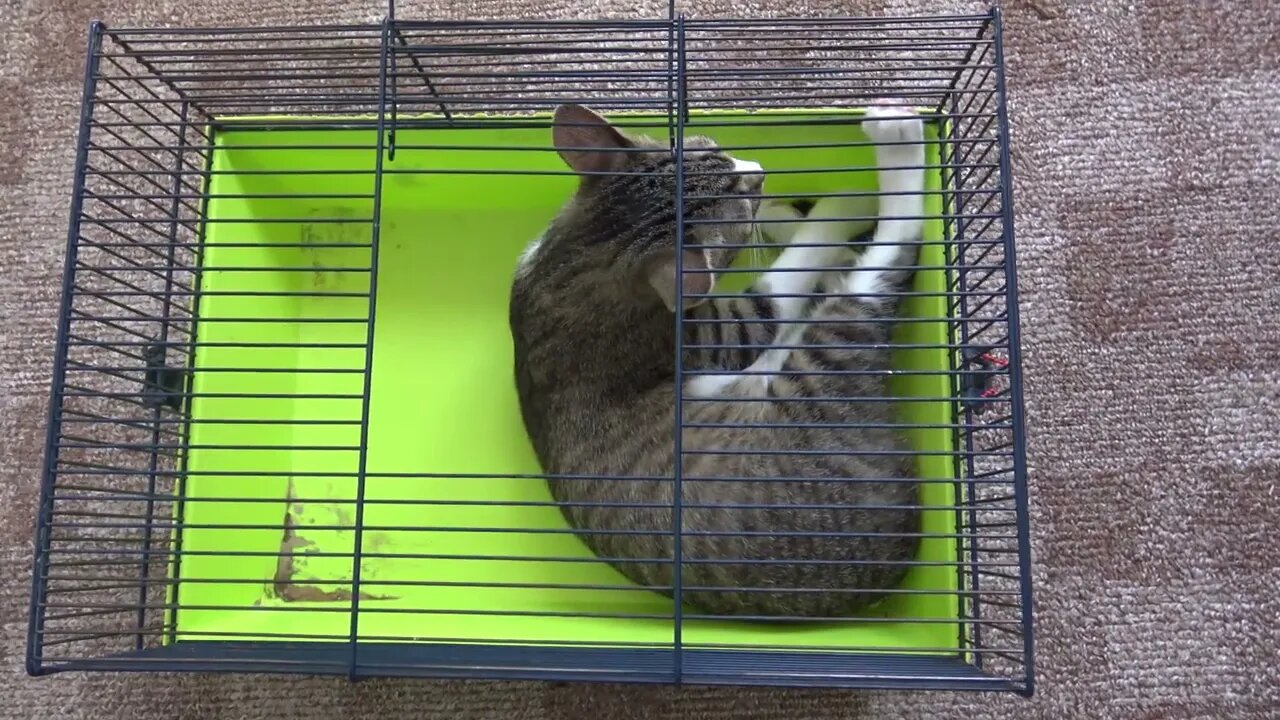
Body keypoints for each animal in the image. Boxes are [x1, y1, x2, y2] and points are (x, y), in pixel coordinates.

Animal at [504, 101, 926, 614]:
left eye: (711, 149)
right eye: (741, 201)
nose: (760, 170)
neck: (581, 258)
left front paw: (785, 213)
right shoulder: (719, 331)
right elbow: (785, 279)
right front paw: (833, 209)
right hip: (820, 371)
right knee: (881, 269)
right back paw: (892, 148)